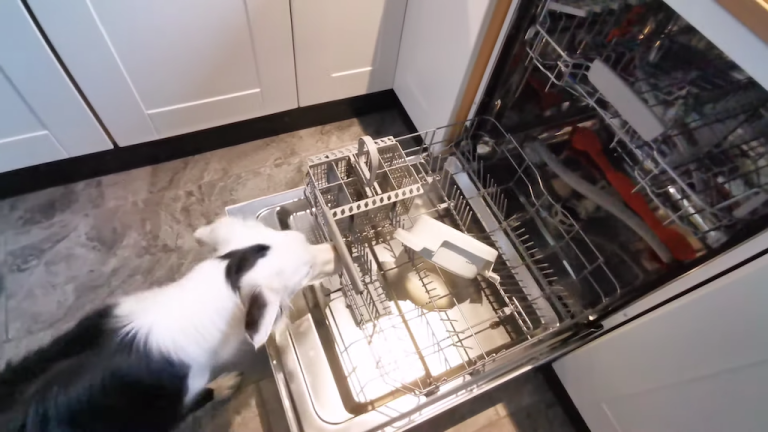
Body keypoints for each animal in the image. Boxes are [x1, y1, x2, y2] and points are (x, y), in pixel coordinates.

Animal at [0, 218, 340, 430]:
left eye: (303, 240)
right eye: (306, 272)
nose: (335, 248)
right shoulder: (168, 406)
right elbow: (201, 395)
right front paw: (223, 385)